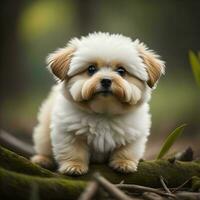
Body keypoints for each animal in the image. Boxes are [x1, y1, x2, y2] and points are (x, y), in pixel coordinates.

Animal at [31, 32, 165, 175]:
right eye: (91, 69)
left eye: (121, 71)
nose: (106, 80)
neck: (103, 113)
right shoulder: (68, 133)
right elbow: (73, 151)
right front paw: (74, 166)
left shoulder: (133, 135)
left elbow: (126, 150)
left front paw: (124, 163)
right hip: (43, 132)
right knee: (44, 147)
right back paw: (42, 159)